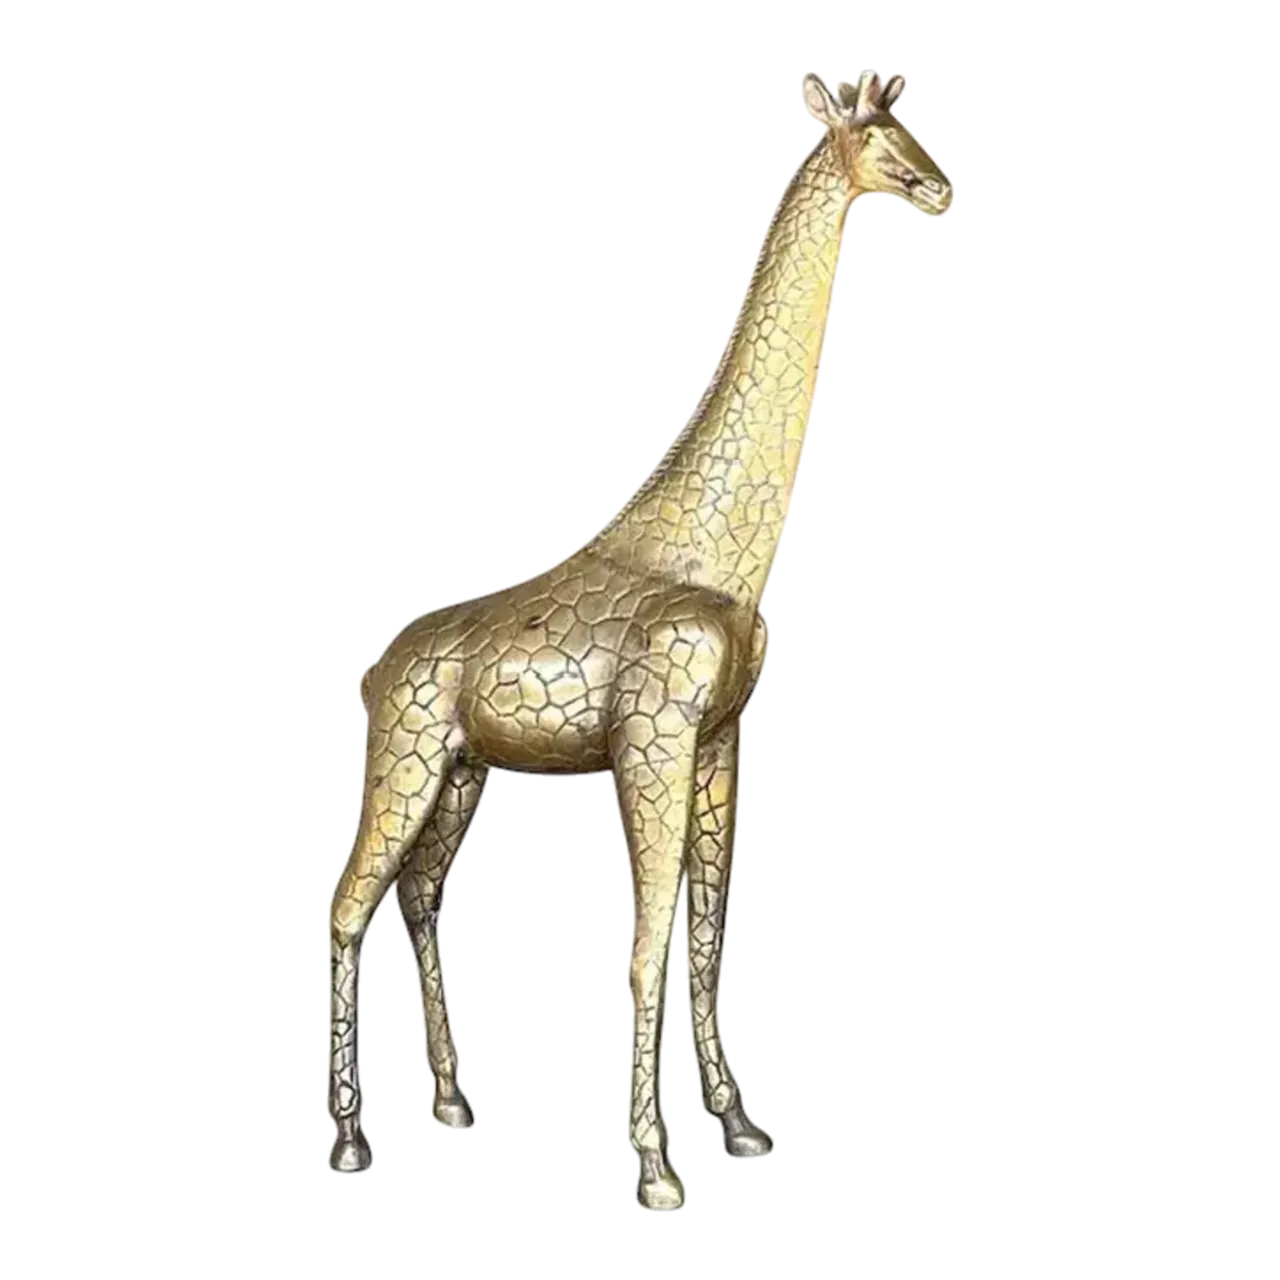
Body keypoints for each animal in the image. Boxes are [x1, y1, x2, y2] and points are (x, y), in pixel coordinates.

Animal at [328, 67, 955, 1210]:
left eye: (912, 128)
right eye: (880, 142)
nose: (943, 189)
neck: (718, 550)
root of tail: (371, 670)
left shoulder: (716, 744)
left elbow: (703, 939)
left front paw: (740, 1126)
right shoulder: (651, 740)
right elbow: (645, 940)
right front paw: (657, 1170)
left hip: (461, 771)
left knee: (419, 899)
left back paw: (453, 1106)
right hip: (403, 754)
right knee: (348, 905)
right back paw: (352, 1141)